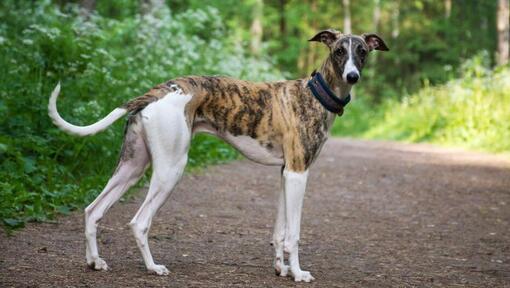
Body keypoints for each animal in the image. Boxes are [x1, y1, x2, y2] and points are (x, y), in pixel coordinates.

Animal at [48, 30, 390, 282]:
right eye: (339, 51)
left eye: (362, 51)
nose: (353, 76)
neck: (316, 94)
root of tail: (158, 90)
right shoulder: (298, 173)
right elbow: (293, 233)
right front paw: (297, 273)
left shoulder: (285, 173)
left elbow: (279, 232)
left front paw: (280, 268)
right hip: (171, 168)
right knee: (139, 221)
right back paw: (153, 267)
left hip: (131, 167)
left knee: (92, 210)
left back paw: (95, 261)